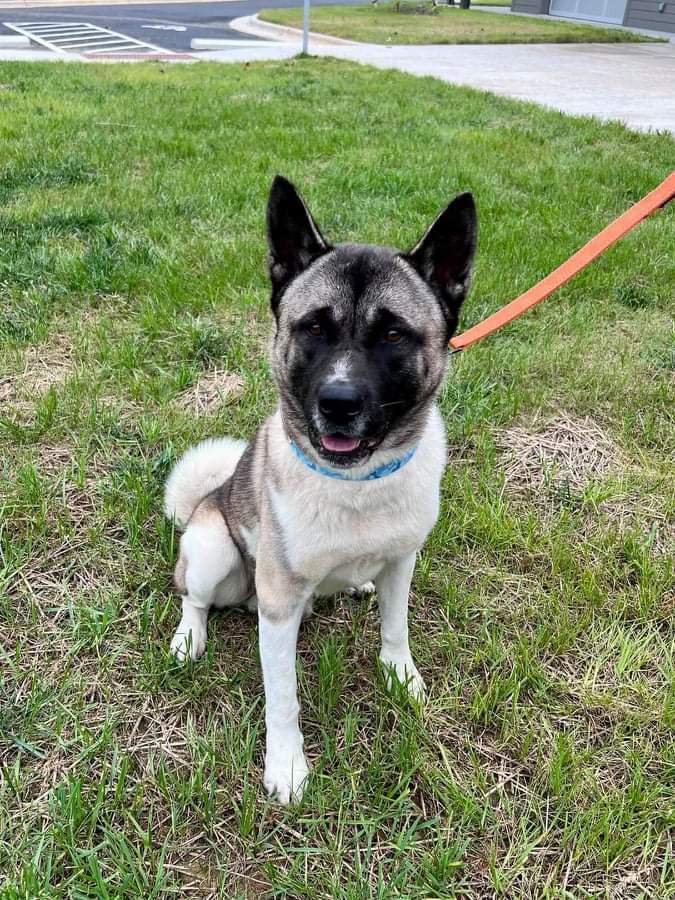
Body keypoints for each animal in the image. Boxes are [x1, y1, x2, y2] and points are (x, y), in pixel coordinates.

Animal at [164, 176, 478, 800]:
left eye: (393, 334)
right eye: (312, 327)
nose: (338, 403)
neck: (356, 485)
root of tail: (204, 502)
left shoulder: (402, 561)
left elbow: (395, 629)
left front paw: (401, 677)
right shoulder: (280, 607)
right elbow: (282, 699)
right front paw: (286, 765)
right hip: (213, 550)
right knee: (193, 595)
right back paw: (190, 637)